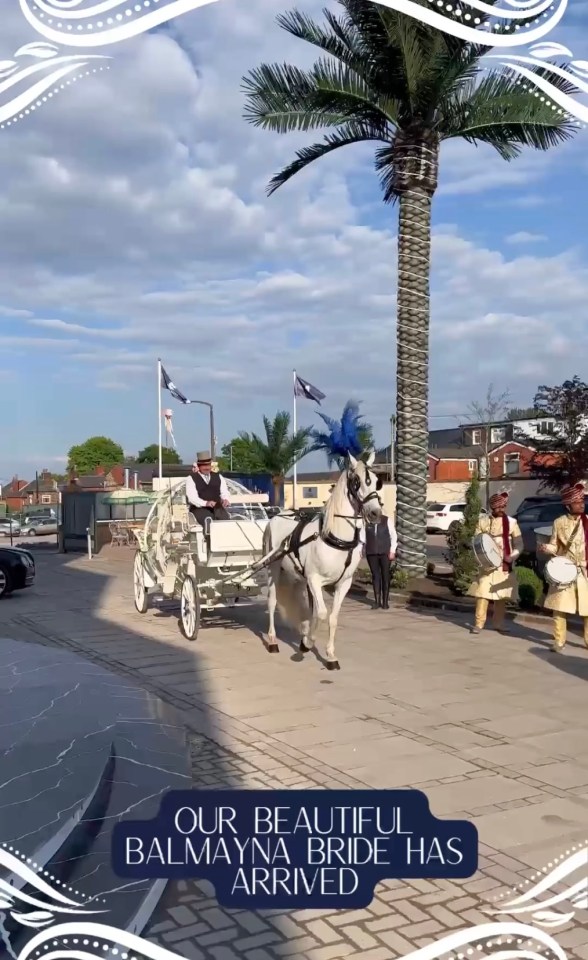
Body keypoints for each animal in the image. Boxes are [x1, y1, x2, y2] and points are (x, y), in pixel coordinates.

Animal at [262, 452, 384, 668]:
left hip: (298, 577)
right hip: (273, 569)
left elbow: (332, 617)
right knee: (272, 601)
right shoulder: (314, 579)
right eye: (357, 481)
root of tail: (276, 516)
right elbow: (321, 613)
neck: (335, 538)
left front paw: (330, 655)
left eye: (378, 482)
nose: (375, 513)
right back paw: (273, 640)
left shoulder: (343, 583)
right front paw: (306, 644)